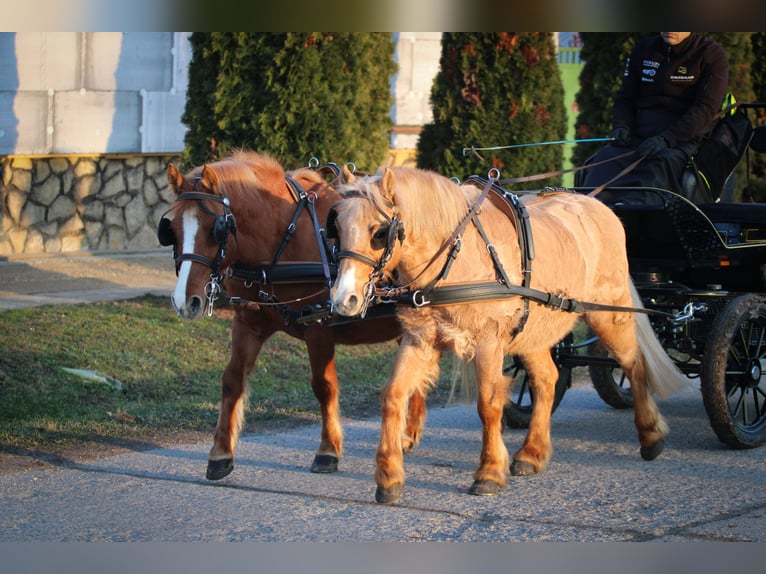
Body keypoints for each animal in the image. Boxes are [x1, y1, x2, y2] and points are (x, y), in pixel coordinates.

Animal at [157, 151, 429, 481]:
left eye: (215, 227)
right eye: (171, 229)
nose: (185, 301)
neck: (283, 238)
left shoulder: (319, 328)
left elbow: (324, 386)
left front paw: (328, 450)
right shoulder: (248, 324)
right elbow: (232, 379)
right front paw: (220, 454)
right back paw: (408, 433)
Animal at [328, 166, 689, 503]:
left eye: (379, 232)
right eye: (337, 229)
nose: (344, 299)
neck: (456, 258)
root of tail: (598, 206)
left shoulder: (488, 343)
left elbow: (489, 404)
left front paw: (489, 472)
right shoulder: (420, 340)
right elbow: (393, 397)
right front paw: (389, 477)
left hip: (609, 315)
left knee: (634, 365)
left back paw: (651, 436)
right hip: (534, 333)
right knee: (547, 379)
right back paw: (532, 452)